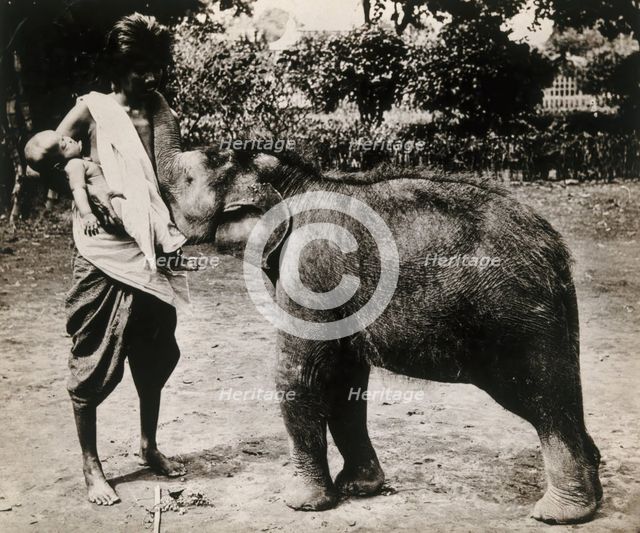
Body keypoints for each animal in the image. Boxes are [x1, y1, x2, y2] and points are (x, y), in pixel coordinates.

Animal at [151, 92, 602, 524]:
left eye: (187, 179)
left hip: (515, 317)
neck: (299, 181)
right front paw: (360, 488)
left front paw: (301, 504)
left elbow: (298, 373)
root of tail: (554, 247)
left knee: (541, 396)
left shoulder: (312, 267)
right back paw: (593, 493)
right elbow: (346, 379)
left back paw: (559, 514)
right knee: (562, 393)